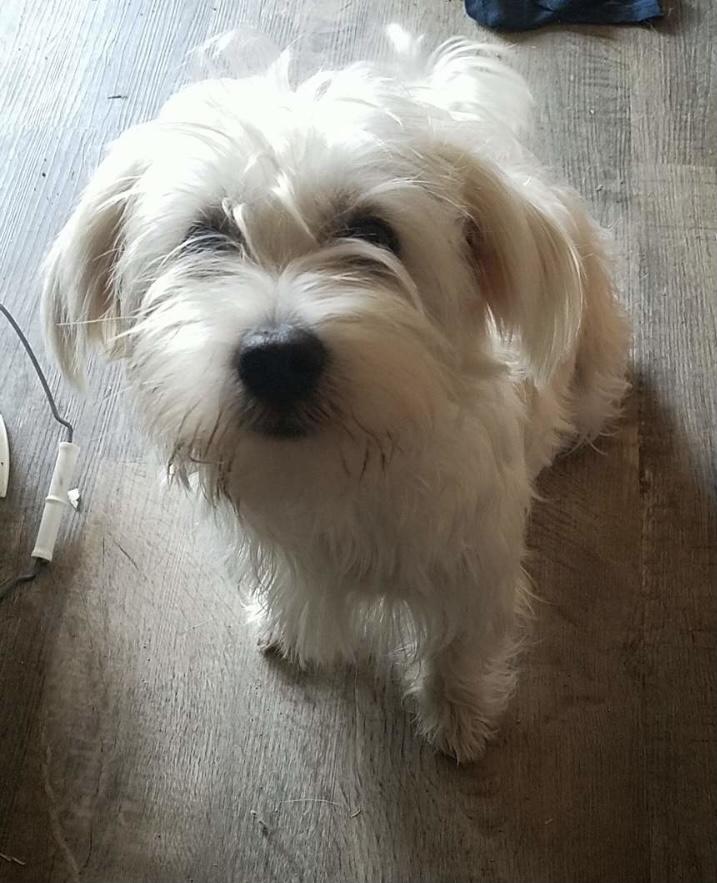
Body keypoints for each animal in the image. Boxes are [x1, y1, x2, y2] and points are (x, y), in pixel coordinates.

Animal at [41, 31, 629, 762]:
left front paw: (457, 712)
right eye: (205, 236)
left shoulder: (473, 565)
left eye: (375, 233)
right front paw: (283, 624)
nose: (276, 359)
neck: (340, 470)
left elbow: (457, 645)